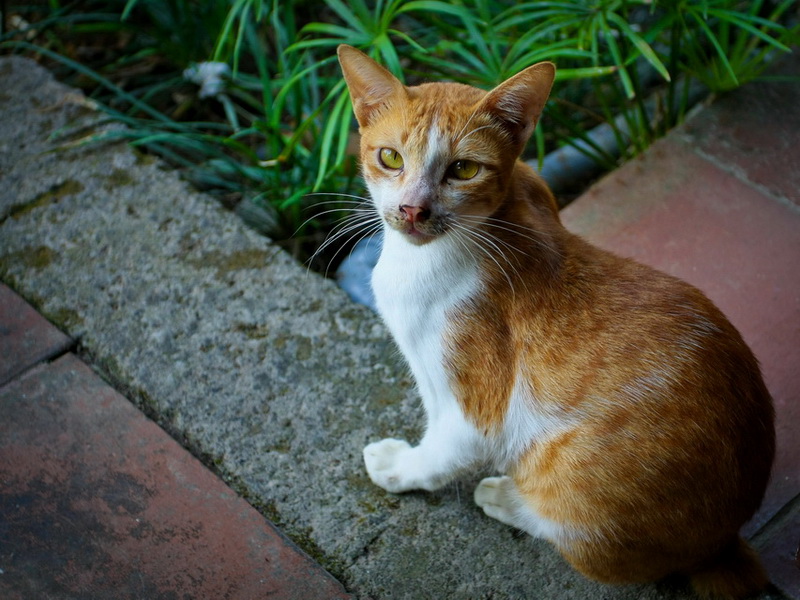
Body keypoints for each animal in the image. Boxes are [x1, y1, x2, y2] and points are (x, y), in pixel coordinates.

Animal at [336, 44, 776, 596]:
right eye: (390, 158)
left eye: (463, 169)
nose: (414, 209)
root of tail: (725, 538)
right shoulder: (535, 183)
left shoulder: (473, 410)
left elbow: (441, 451)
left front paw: (401, 468)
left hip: (572, 483)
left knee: (581, 541)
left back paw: (506, 497)